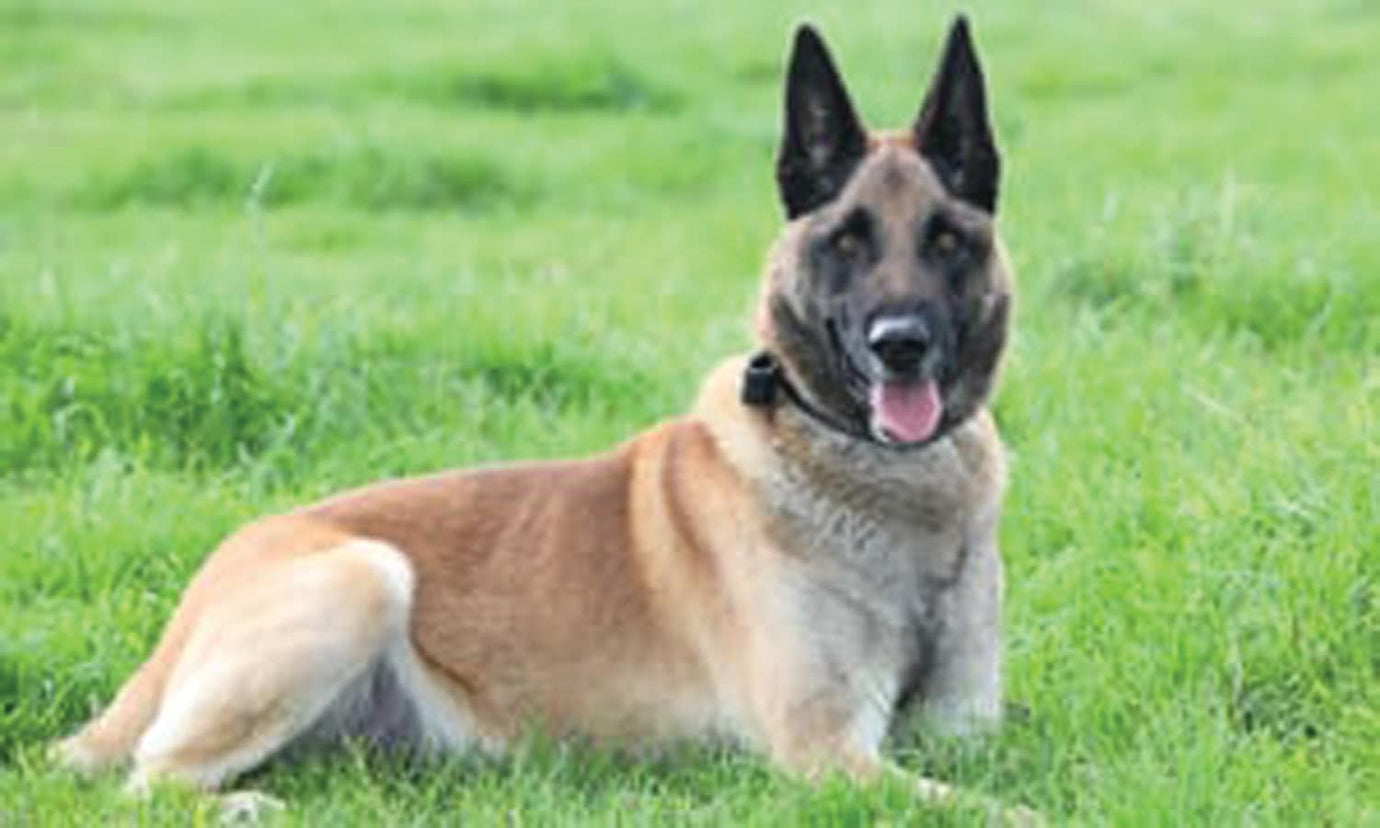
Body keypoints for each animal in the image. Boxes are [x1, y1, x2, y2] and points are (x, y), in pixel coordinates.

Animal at [53, 16, 1021, 816]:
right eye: (848, 239)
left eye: (945, 239)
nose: (901, 346)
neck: (877, 474)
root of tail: (209, 581)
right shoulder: (825, 751)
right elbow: (999, 810)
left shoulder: (961, 732)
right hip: (363, 576)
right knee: (150, 780)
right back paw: (246, 804)